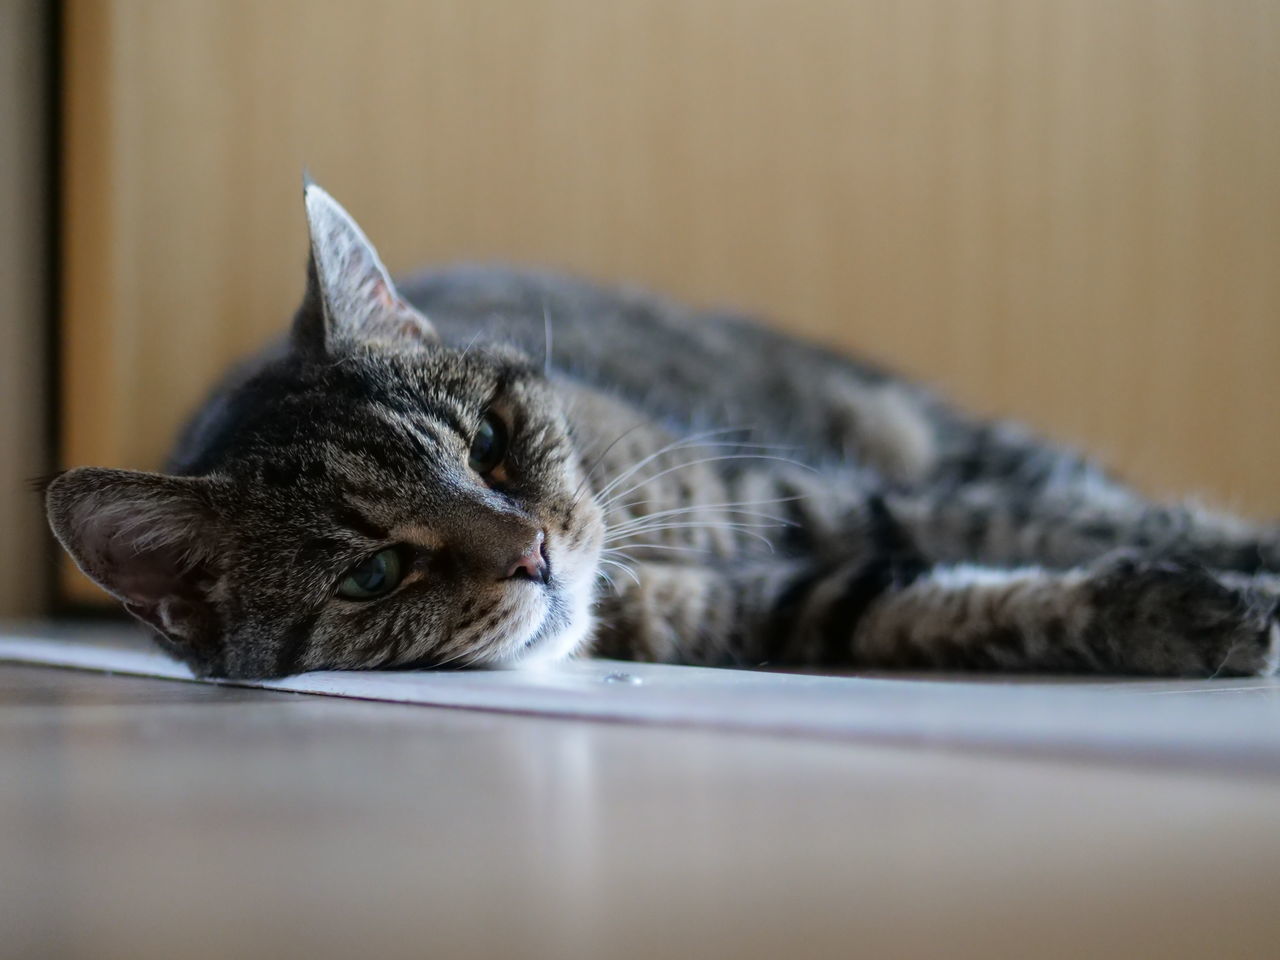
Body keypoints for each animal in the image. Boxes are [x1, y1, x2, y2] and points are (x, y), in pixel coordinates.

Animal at [42, 181, 1280, 686]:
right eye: (372, 575)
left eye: (488, 444)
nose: (536, 553)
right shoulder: (758, 606)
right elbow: (951, 607)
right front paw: (1176, 615)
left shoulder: (811, 494)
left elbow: (1035, 524)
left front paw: (1235, 566)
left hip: (917, 433)